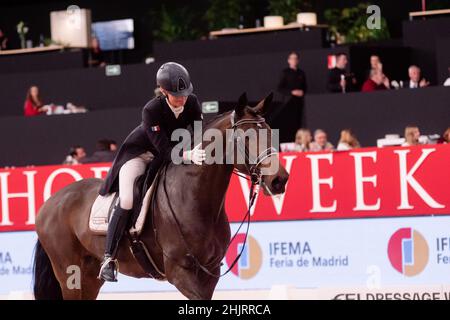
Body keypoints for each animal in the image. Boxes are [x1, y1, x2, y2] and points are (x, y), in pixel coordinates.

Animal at [33, 93, 290, 300]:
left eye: (270, 132)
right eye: (245, 138)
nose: (279, 180)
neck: (195, 199)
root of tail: (50, 202)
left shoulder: (210, 273)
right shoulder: (179, 272)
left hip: (88, 276)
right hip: (70, 273)